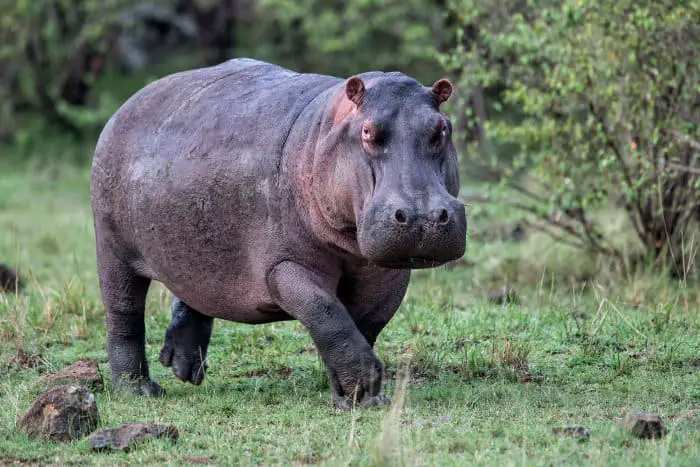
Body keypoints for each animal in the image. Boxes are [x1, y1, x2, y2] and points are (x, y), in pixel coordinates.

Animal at [90, 57, 468, 410]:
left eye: (441, 129)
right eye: (367, 132)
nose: (423, 217)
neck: (325, 133)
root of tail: (129, 103)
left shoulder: (386, 273)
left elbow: (361, 325)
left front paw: (351, 394)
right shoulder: (284, 266)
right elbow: (328, 315)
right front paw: (364, 391)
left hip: (197, 247)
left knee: (195, 289)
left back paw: (183, 369)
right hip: (113, 247)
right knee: (123, 314)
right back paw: (139, 390)